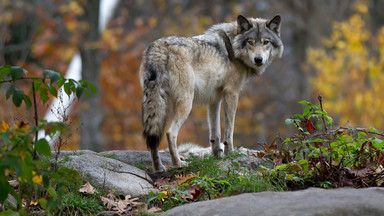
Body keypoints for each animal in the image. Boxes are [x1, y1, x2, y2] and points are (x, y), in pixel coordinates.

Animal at [140, 14, 284, 172]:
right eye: (250, 42)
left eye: (266, 42)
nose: (258, 59)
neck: (233, 47)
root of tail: (159, 48)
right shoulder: (232, 94)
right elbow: (229, 131)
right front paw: (229, 154)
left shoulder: (214, 100)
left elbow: (215, 134)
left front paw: (217, 156)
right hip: (186, 103)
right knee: (170, 133)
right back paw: (178, 164)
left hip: (155, 103)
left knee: (153, 138)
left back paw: (158, 168)